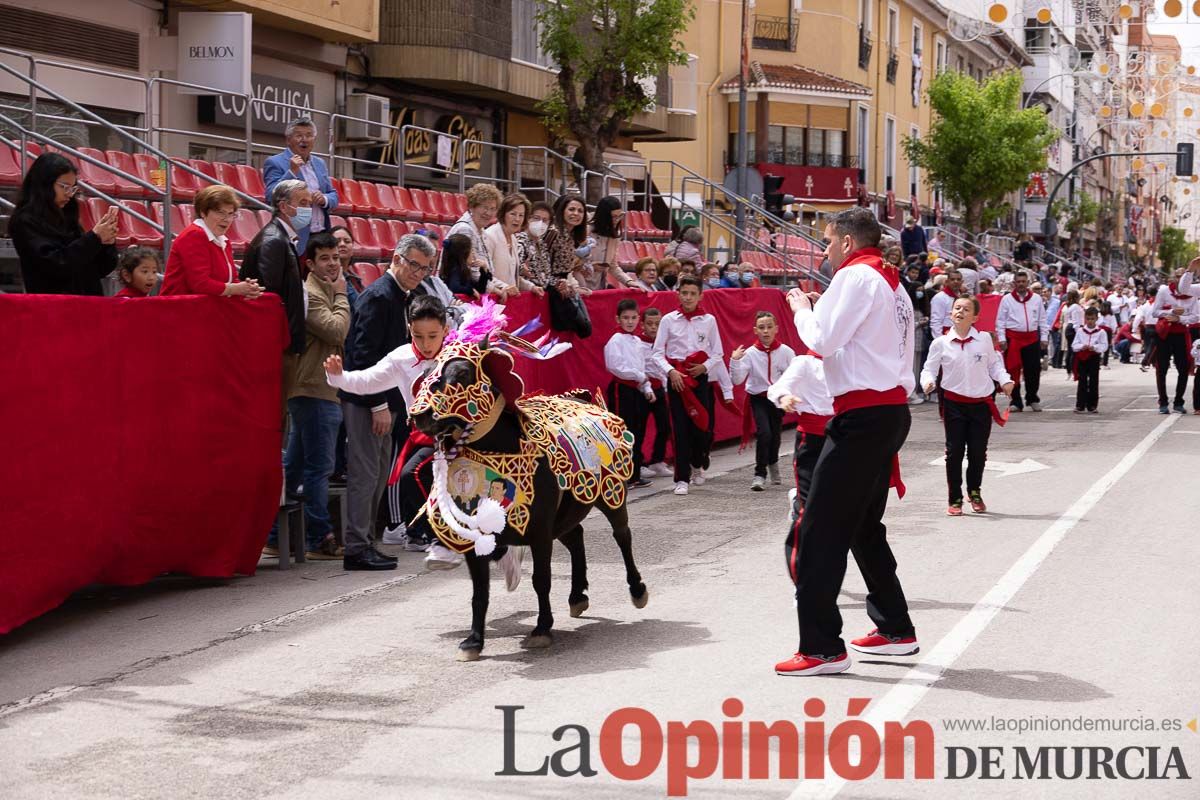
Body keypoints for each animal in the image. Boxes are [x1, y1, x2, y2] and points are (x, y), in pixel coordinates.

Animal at [408, 328, 652, 662]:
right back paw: (577, 596)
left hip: (610, 494)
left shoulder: (538, 530)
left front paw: (541, 629)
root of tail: (583, 398)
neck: (500, 449)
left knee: (622, 535)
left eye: (462, 373)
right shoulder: (476, 539)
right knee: (576, 537)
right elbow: (479, 593)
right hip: (564, 514)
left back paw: (637, 590)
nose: (420, 415)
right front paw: (473, 641)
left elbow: (541, 579)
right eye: (427, 372)